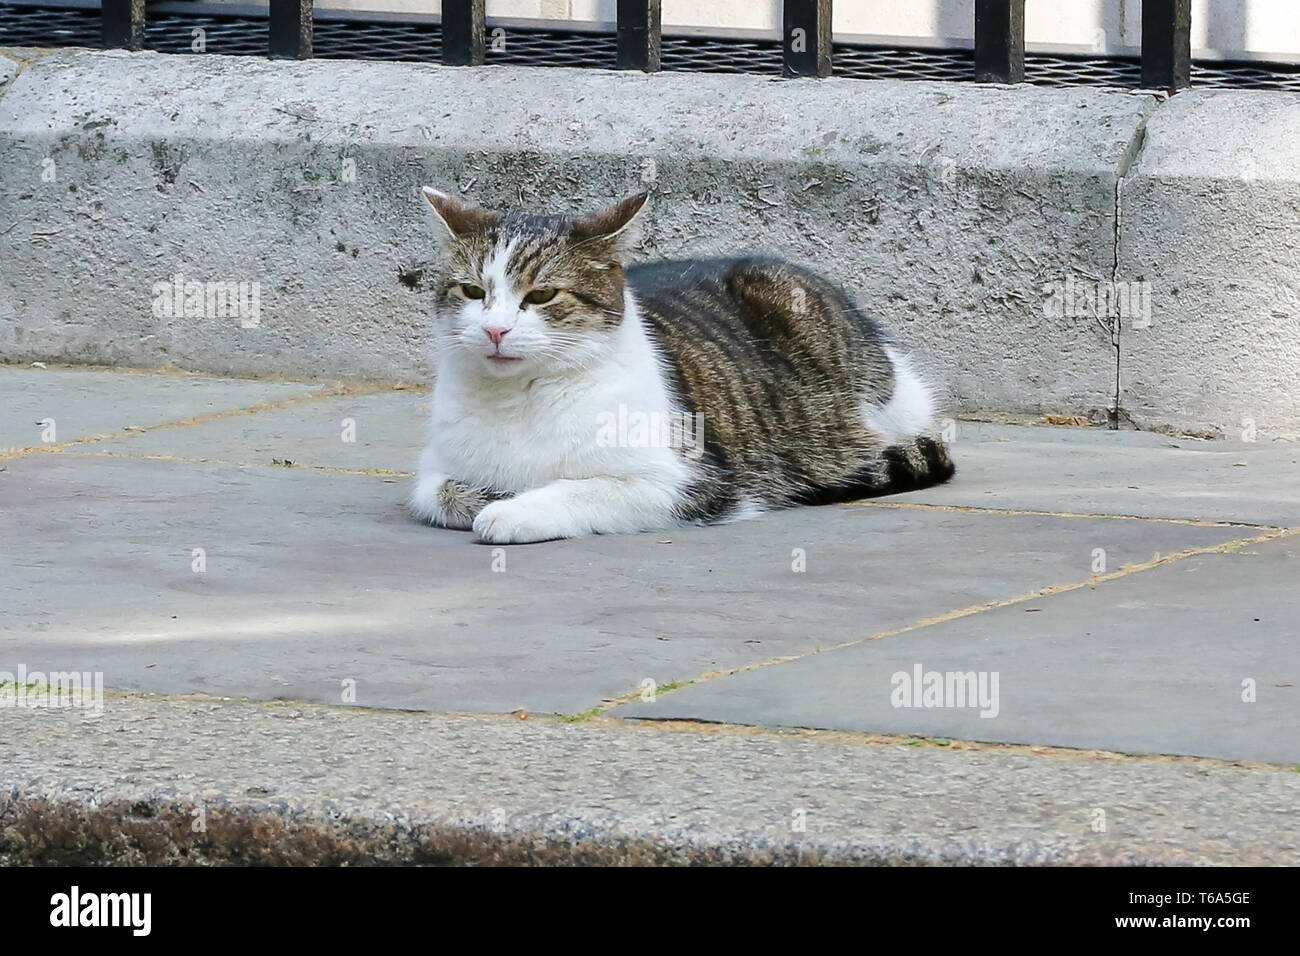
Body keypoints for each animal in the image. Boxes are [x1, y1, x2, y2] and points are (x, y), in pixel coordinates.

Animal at [410, 188, 951, 546]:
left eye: (542, 295)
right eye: (472, 291)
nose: (495, 330)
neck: (521, 397)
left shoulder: (687, 480)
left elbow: (581, 490)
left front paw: (513, 510)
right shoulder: (433, 471)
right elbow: (444, 496)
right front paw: (491, 494)